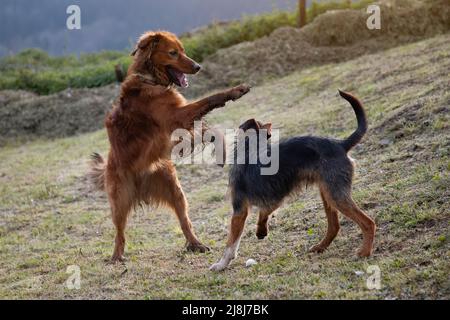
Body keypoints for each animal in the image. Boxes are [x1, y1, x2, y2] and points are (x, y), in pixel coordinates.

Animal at [88, 30, 250, 262]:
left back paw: (196, 244)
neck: (151, 80)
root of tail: (142, 187)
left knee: (185, 222)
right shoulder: (177, 116)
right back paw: (117, 257)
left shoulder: (179, 123)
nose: (198, 67)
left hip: (176, 192)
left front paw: (219, 145)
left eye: (183, 51)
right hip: (119, 202)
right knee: (120, 233)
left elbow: (206, 129)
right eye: (173, 53)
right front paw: (236, 90)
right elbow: (210, 99)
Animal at [211, 91, 376, 272]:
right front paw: (261, 231)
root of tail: (340, 144)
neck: (252, 150)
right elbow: (265, 211)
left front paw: (221, 264)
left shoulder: (239, 210)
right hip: (327, 192)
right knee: (334, 227)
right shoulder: (276, 197)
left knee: (368, 222)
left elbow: (231, 243)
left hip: (336, 195)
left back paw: (364, 252)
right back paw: (320, 247)